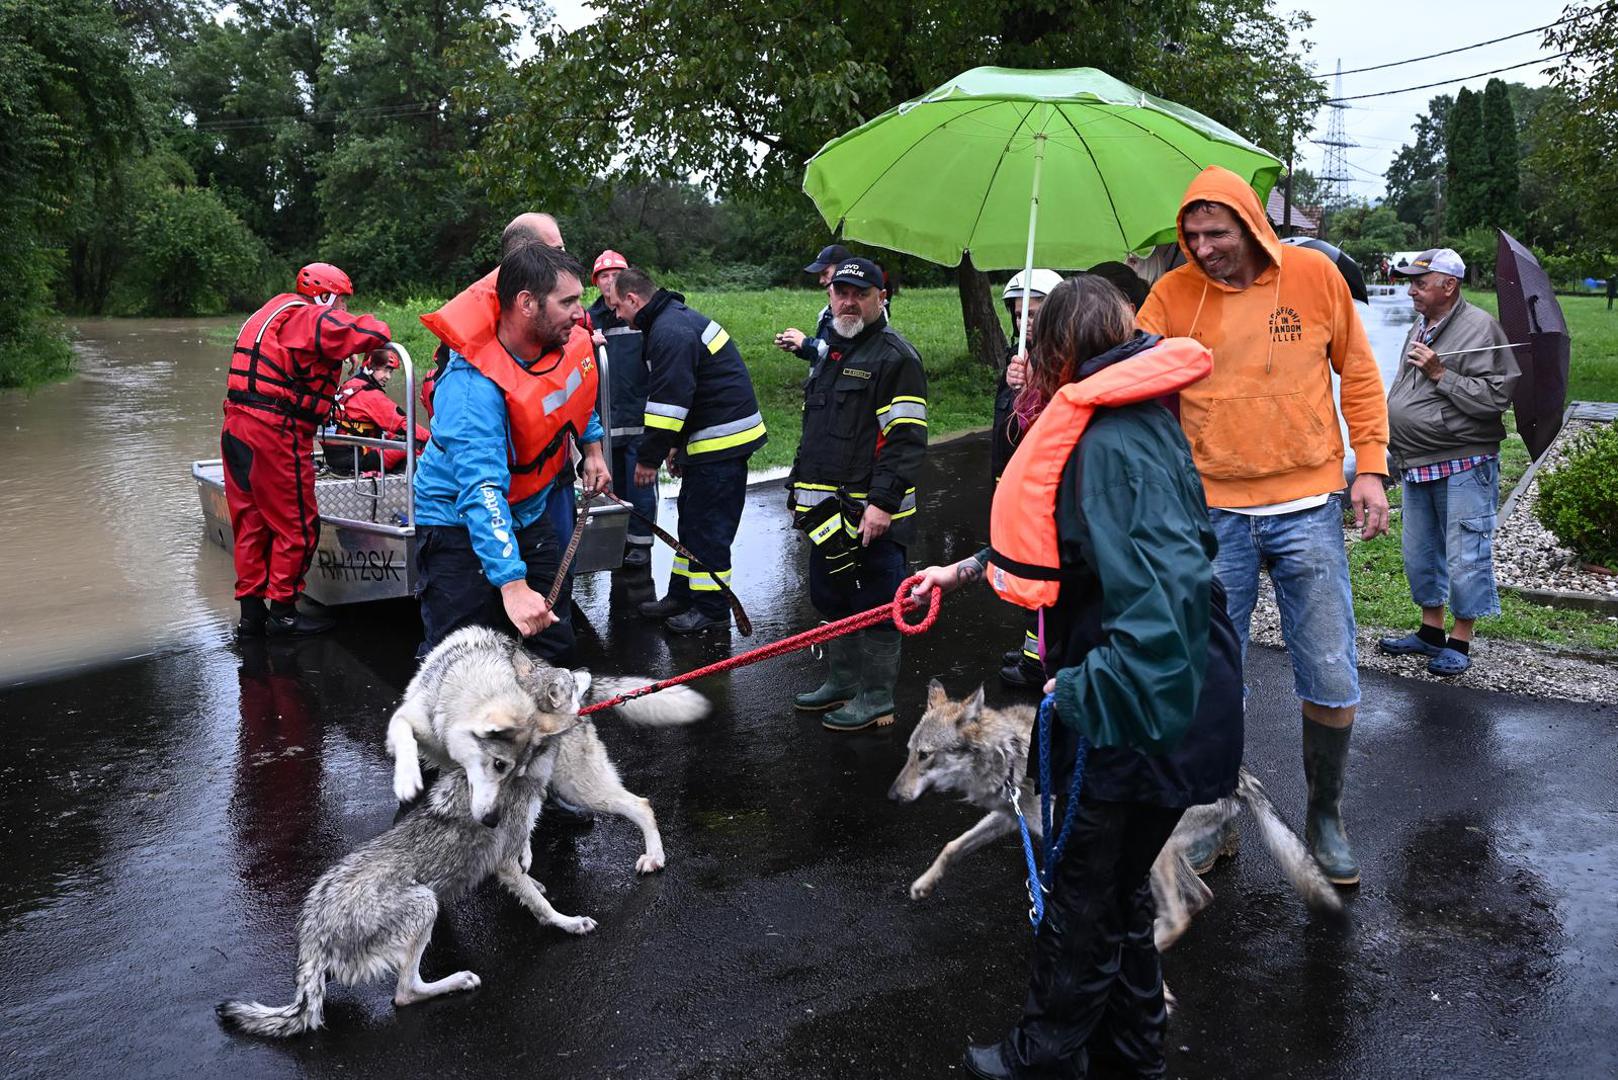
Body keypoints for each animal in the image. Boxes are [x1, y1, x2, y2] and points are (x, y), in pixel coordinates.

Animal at [215, 667, 595, 1036]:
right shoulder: (502, 860)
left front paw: (534, 875)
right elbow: (541, 905)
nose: (586, 668)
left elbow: (527, 868)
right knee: (405, 993)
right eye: (569, 679)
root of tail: (312, 939)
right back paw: (457, 980)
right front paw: (568, 922)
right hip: (425, 903)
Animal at [385, 628, 708, 874]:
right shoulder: (409, 719)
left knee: (641, 805)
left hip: (581, 787)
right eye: (499, 766)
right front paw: (407, 778)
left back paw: (654, 856)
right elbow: (404, 735)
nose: (585, 670)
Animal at [886, 683, 1339, 945]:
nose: (891, 796)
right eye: (908, 753)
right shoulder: (1009, 818)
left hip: (1156, 852)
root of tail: (1236, 774)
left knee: (1179, 914)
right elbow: (952, 846)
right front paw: (924, 885)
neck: (1011, 754)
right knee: (1199, 898)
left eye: (925, 756)